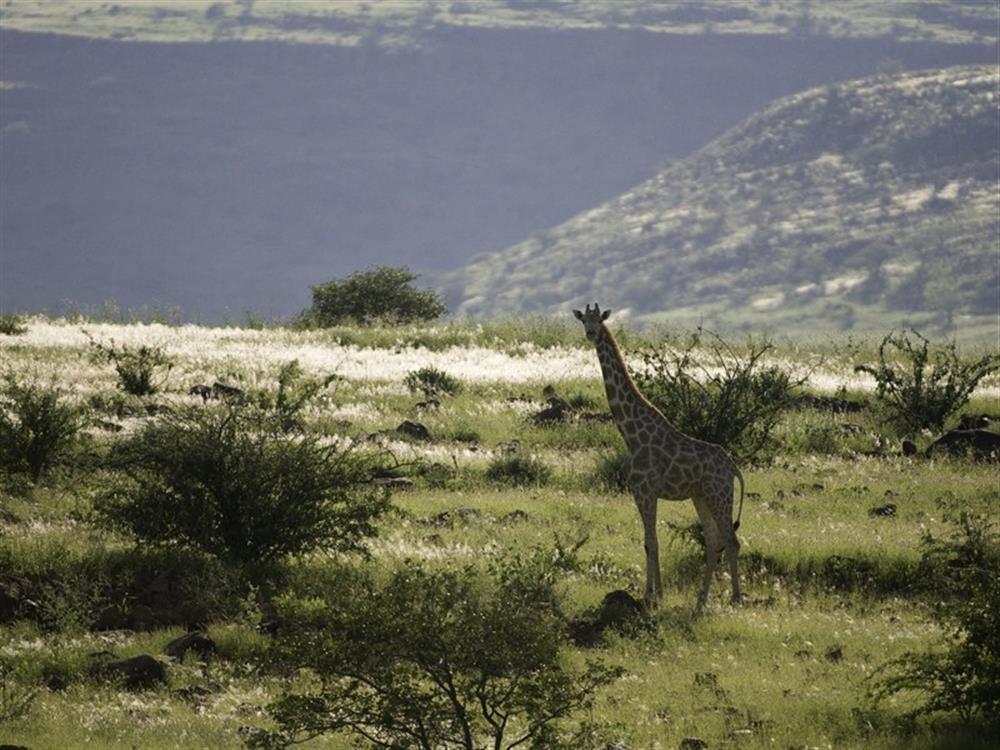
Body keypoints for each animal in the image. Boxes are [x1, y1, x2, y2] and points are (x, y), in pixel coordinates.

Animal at [576, 302, 748, 612]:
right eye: (583, 320)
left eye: (599, 320)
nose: (591, 334)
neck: (631, 434)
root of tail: (733, 468)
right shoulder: (640, 492)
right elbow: (650, 540)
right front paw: (657, 594)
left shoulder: (646, 490)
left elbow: (651, 541)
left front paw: (651, 596)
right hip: (701, 496)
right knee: (713, 539)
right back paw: (700, 601)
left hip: (719, 494)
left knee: (731, 539)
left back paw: (736, 598)